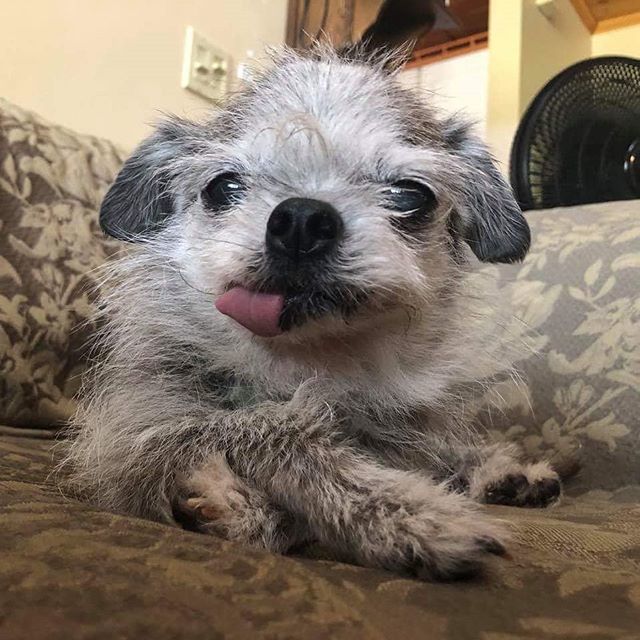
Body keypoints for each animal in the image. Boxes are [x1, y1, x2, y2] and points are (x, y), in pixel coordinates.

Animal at [64, 36, 562, 581]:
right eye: (222, 187)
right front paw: (414, 514)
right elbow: (279, 431)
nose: (301, 218)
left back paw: (508, 474)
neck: (308, 367)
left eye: (410, 195)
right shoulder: (134, 441)